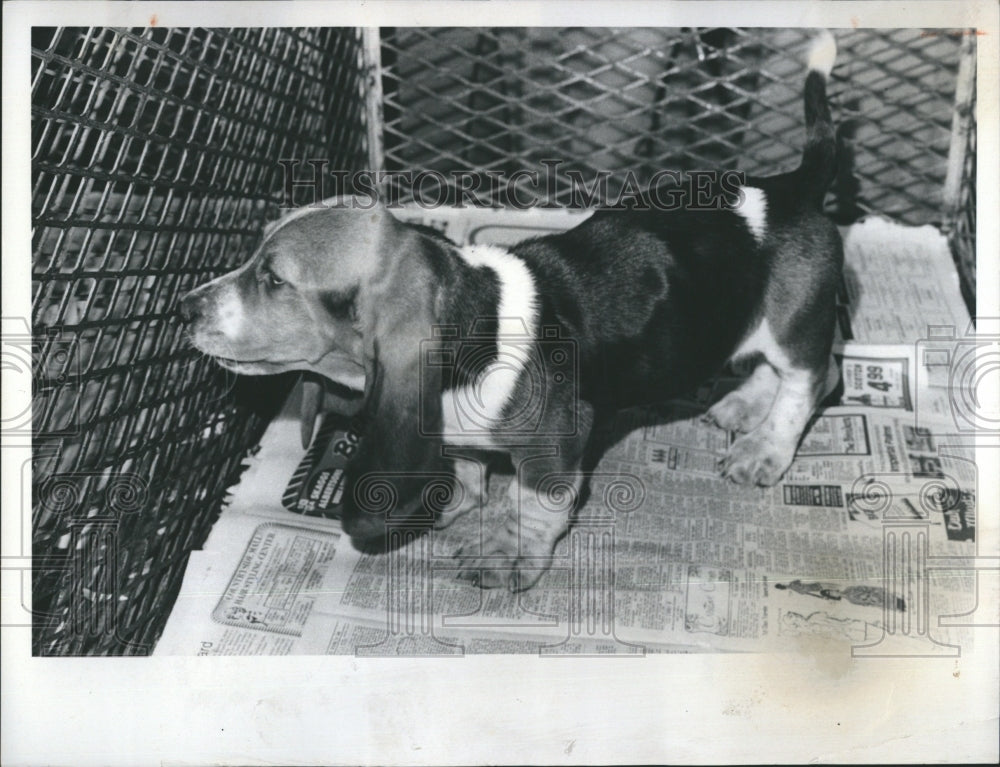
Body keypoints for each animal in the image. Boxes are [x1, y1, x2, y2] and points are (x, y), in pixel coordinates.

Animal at [182, 33, 844, 592]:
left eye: (274, 279)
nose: (185, 307)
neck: (472, 319)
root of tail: (790, 187)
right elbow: (469, 469)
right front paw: (453, 503)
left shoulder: (557, 443)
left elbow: (534, 505)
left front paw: (508, 555)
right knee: (784, 369)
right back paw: (744, 405)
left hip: (796, 324)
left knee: (815, 379)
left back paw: (765, 447)